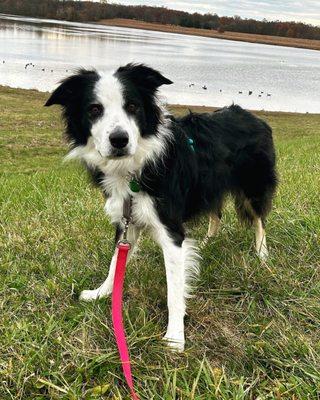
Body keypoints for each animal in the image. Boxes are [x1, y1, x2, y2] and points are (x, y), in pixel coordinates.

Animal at [45, 62, 278, 350]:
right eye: (94, 109)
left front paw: (175, 337)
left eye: (132, 106)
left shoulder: (170, 229)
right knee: (217, 212)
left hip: (253, 185)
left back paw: (261, 254)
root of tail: (255, 118)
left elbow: (174, 291)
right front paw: (101, 293)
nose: (119, 140)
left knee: (259, 219)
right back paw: (208, 241)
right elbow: (115, 262)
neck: (135, 168)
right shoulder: (127, 220)